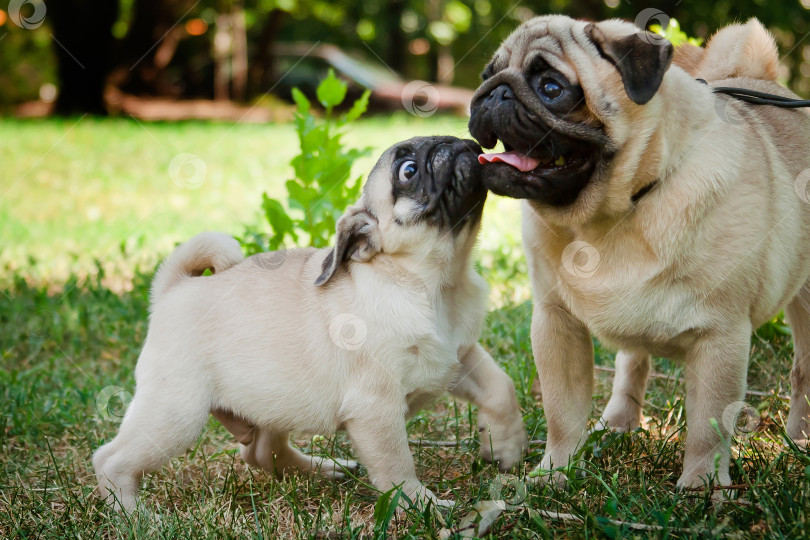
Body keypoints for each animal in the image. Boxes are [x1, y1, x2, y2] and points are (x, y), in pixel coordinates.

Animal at [93, 137, 524, 512]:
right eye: (409, 171)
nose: (460, 142)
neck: (433, 284)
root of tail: (173, 289)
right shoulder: (376, 407)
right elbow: (397, 466)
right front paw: (422, 505)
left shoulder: (459, 357)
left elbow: (500, 388)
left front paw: (505, 448)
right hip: (176, 413)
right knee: (111, 459)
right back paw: (135, 515)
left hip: (275, 399)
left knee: (259, 451)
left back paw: (322, 470)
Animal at [464, 15, 808, 490]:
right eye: (486, 74)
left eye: (551, 87)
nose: (493, 92)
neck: (610, 215)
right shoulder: (556, 322)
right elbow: (562, 412)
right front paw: (555, 473)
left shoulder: (720, 337)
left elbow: (708, 425)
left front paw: (699, 489)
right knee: (632, 364)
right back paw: (619, 422)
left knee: (803, 371)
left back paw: (799, 440)